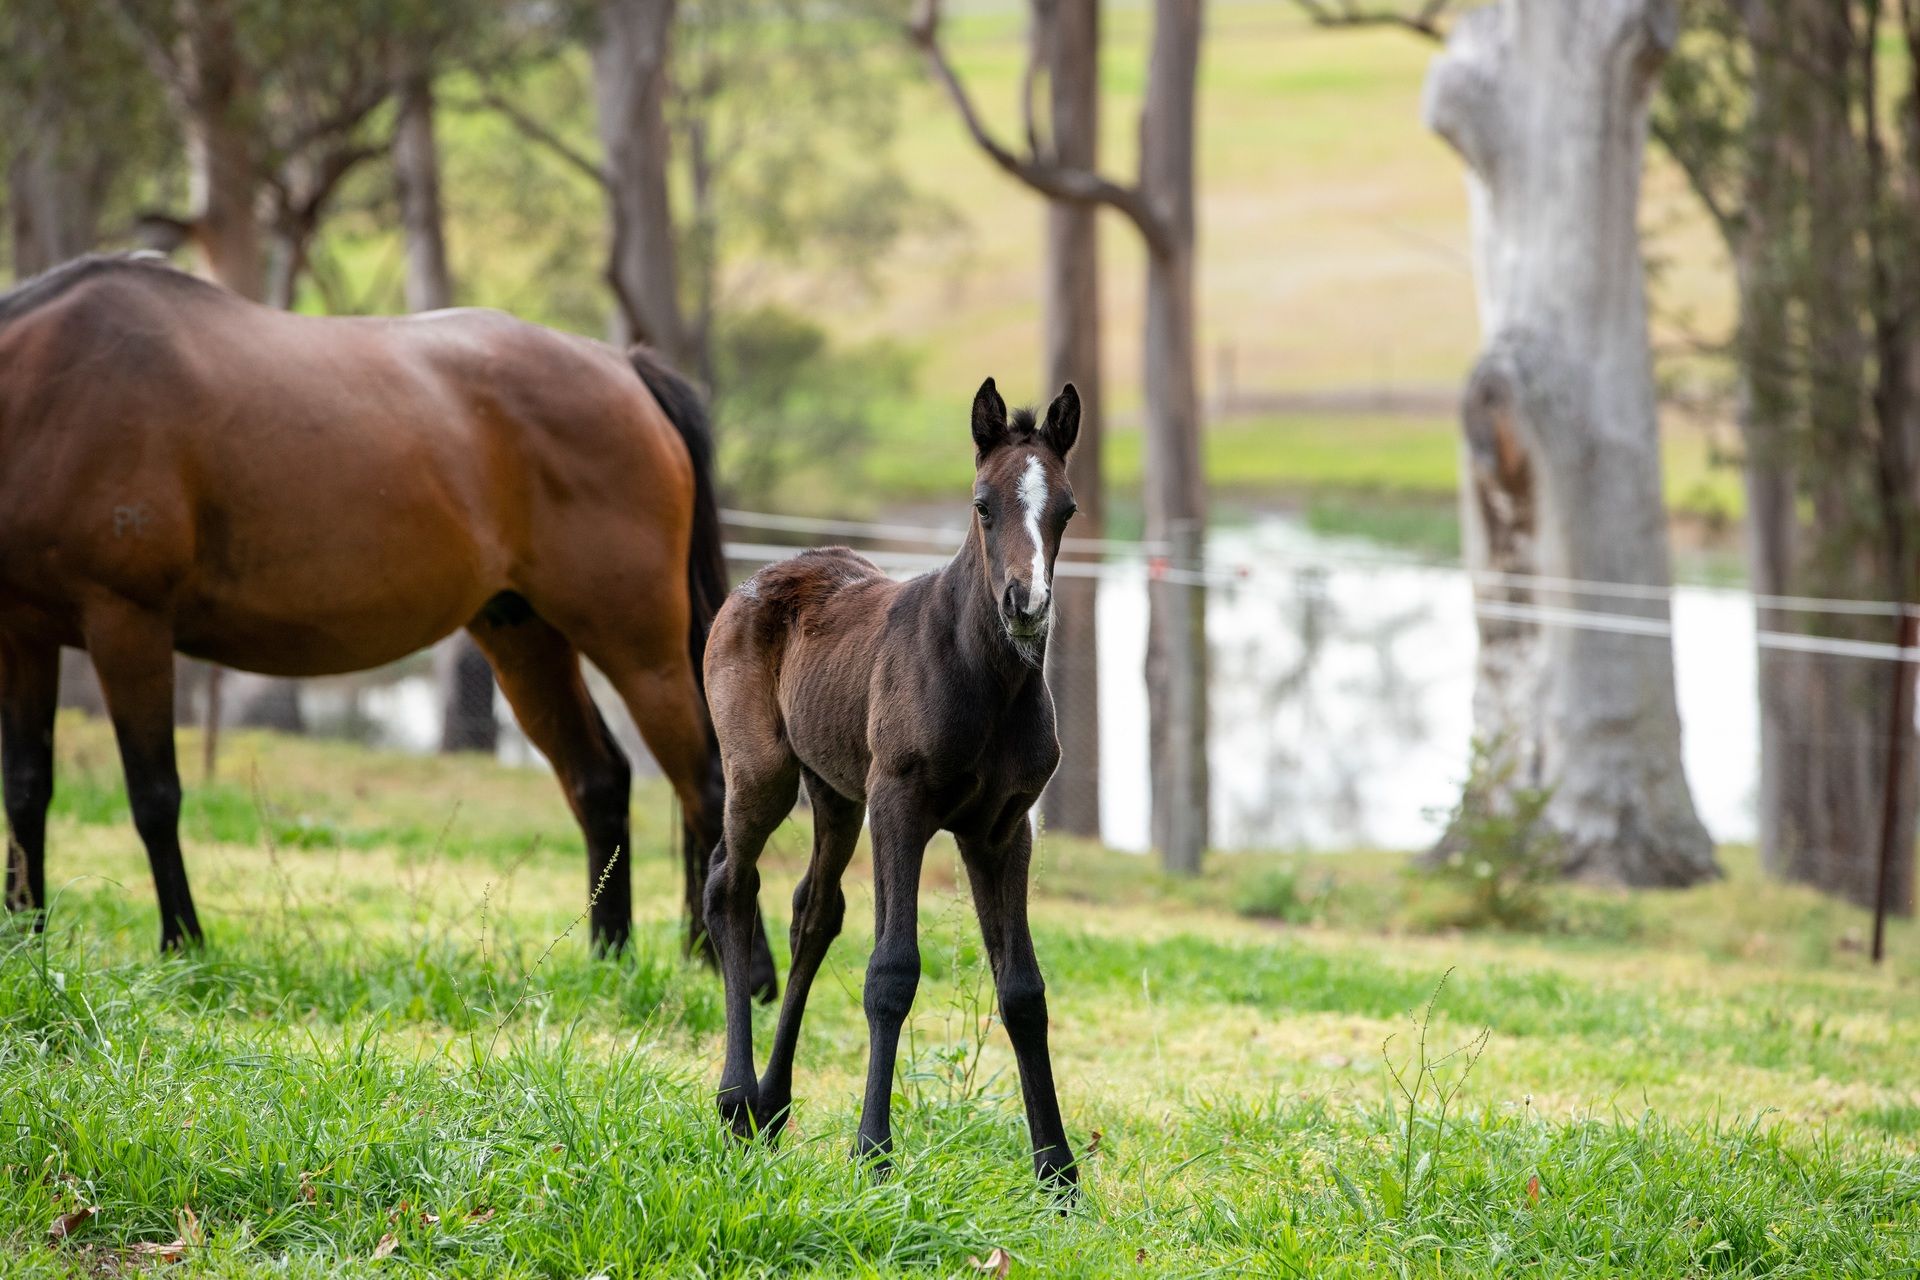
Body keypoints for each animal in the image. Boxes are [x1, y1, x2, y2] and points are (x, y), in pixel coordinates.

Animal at [0, 254, 774, 1000]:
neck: (47, 388)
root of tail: (624, 368)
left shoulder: (126, 623)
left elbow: (155, 797)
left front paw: (183, 946)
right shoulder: (23, 633)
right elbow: (26, 786)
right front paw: (24, 938)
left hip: (639, 648)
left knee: (707, 784)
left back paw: (745, 972)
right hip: (524, 637)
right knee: (600, 780)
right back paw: (610, 959)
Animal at [701, 376, 1082, 1190]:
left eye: (1065, 509)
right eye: (982, 504)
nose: (1025, 606)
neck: (983, 679)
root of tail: (761, 577)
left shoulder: (1002, 828)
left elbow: (1023, 991)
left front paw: (1059, 1177)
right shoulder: (899, 804)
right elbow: (892, 971)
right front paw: (873, 1154)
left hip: (837, 794)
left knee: (813, 911)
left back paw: (772, 1107)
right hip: (763, 773)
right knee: (729, 885)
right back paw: (736, 1100)